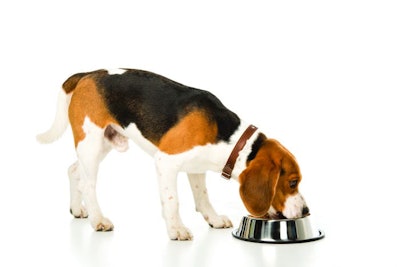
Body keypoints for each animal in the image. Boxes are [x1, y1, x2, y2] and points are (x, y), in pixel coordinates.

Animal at [36, 68, 310, 241]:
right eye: (292, 183)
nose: (306, 211)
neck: (232, 140)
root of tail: (87, 74)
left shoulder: (196, 168)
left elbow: (203, 198)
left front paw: (213, 219)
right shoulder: (165, 162)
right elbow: (172, 201)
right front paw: (176, 229)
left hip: (101, 143)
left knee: (74, 171)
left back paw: (77, 209)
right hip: (91, 144)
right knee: (88, 184)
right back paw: (98, 219)